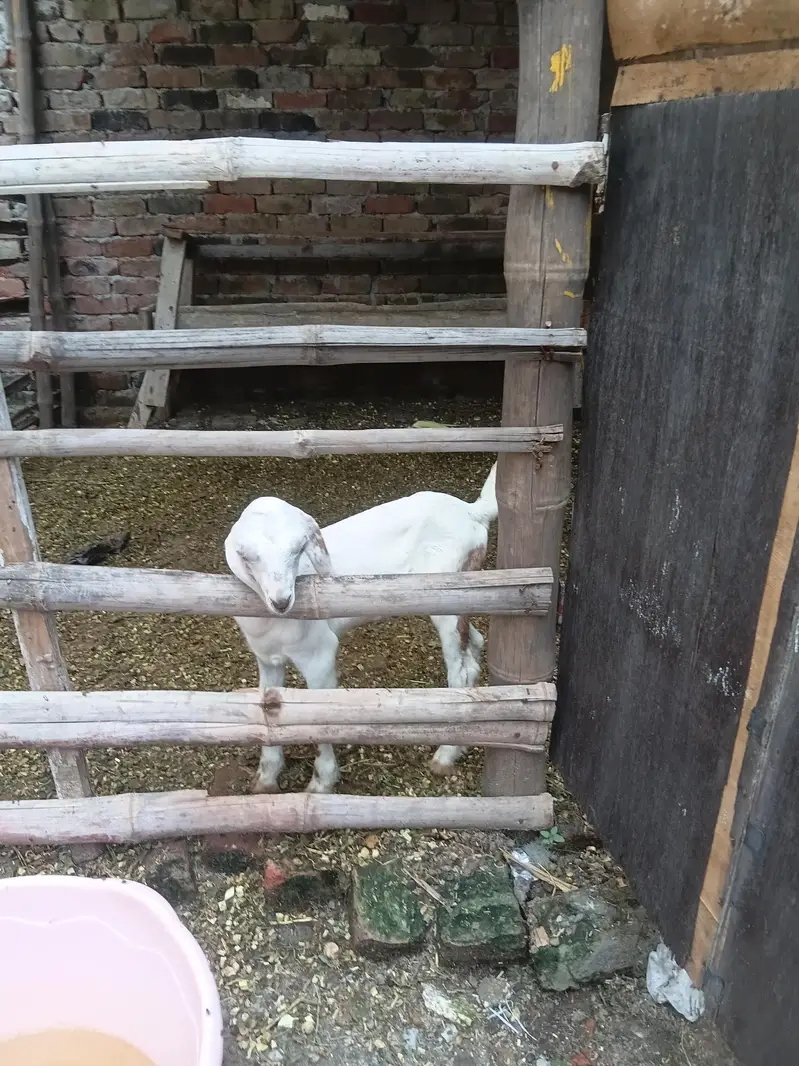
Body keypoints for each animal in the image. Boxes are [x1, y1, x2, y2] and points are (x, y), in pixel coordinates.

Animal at [225, 463, 497, 795]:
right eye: (246, 556)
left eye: (299, 549)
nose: (281, 601)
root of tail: (472, 512)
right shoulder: (267, 659)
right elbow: (268, 709)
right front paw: (266, 778)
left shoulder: (319, 655)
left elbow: (321, 715)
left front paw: (321, 781)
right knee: (474, 646)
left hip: (449, 591)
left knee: (460, 672)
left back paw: (445, 754)